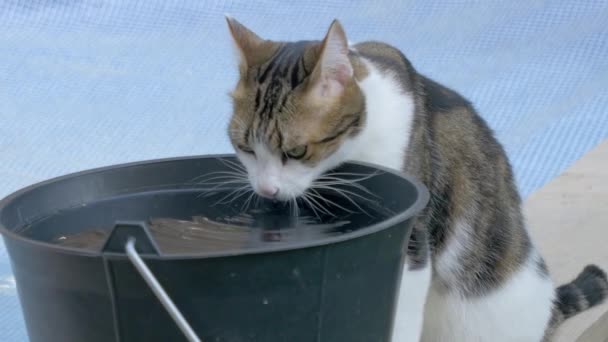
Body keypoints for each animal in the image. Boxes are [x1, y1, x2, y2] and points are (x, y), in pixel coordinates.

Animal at [224, 18, 608, 342]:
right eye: (245, 147)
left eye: (296, 151)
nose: (267, 189)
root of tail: (550, 306)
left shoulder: (412, 238)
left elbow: (401, 315)